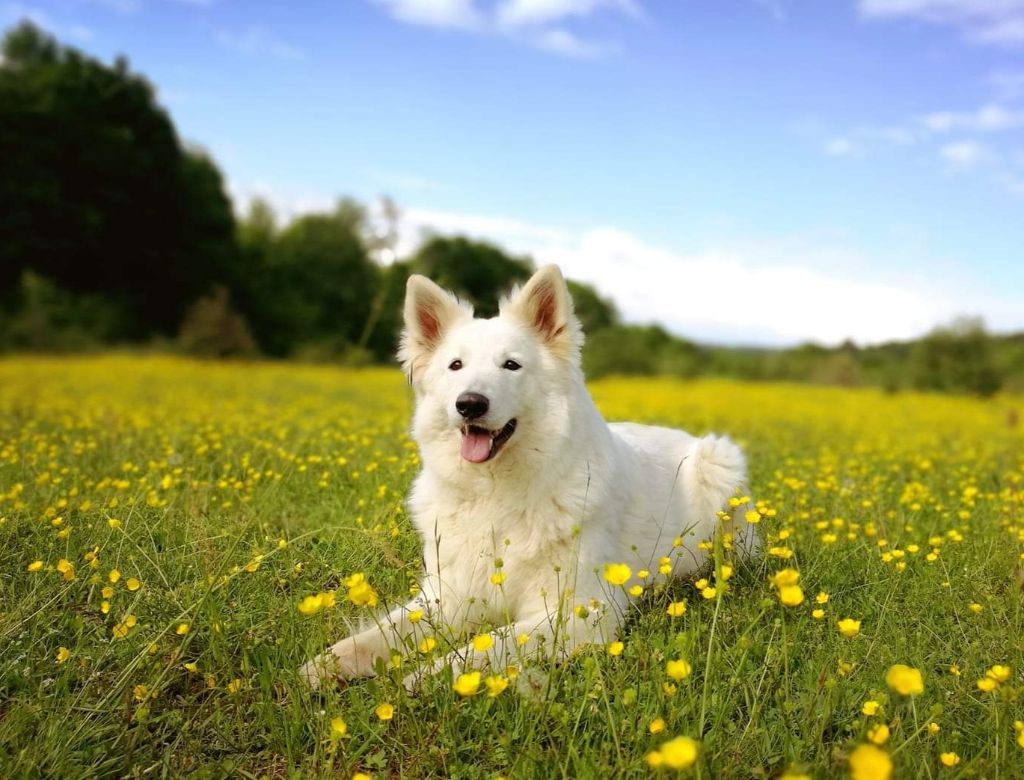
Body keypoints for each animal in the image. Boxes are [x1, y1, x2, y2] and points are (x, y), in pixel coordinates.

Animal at [299, 264, 757, 683]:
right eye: (455, 366)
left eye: (511, 365)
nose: (469, 404)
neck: (493, 494)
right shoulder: (444, 597)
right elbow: (377, 635)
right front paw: (323, 667)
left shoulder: (579, 613)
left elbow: (482, 647)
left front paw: (425, 680)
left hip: (719, 463)